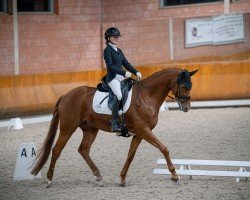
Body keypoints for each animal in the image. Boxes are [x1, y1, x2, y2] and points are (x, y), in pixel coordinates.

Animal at [31, 67, 197, 188]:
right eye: (184, 85)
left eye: (191, 86)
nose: (186, 107)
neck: (147, 96)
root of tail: (65, 95)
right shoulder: (144, 130)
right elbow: (164, 148)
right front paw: (175, 175)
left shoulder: (139, 134)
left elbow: (130, 156)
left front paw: (122, 179)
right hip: (68, 128)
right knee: (56, 150)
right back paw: (49, 180)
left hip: (90, 129)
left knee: (83, 150)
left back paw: (98, 176)